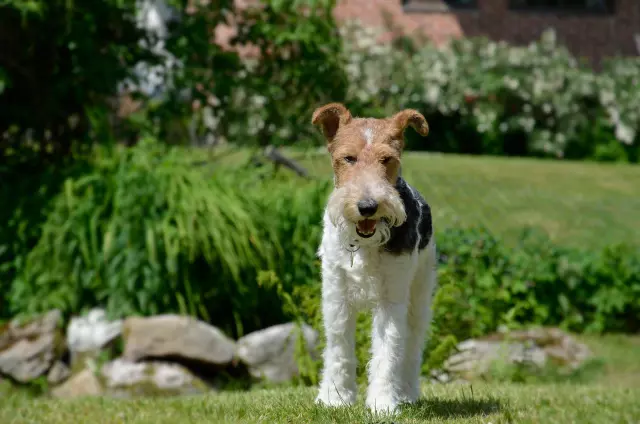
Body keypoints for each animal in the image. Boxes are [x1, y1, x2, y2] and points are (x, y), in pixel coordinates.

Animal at [312, 102, 440, 414]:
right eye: (349, 158)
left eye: (387, 159)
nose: (367, 206)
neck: (363, 245)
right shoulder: (336, 296)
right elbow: (339, 349)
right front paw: (335, 399)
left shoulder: (390, 300)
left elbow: (387, 352)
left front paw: (382, 404)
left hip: (419, 295)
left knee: (412, 346)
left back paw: (406, 393)